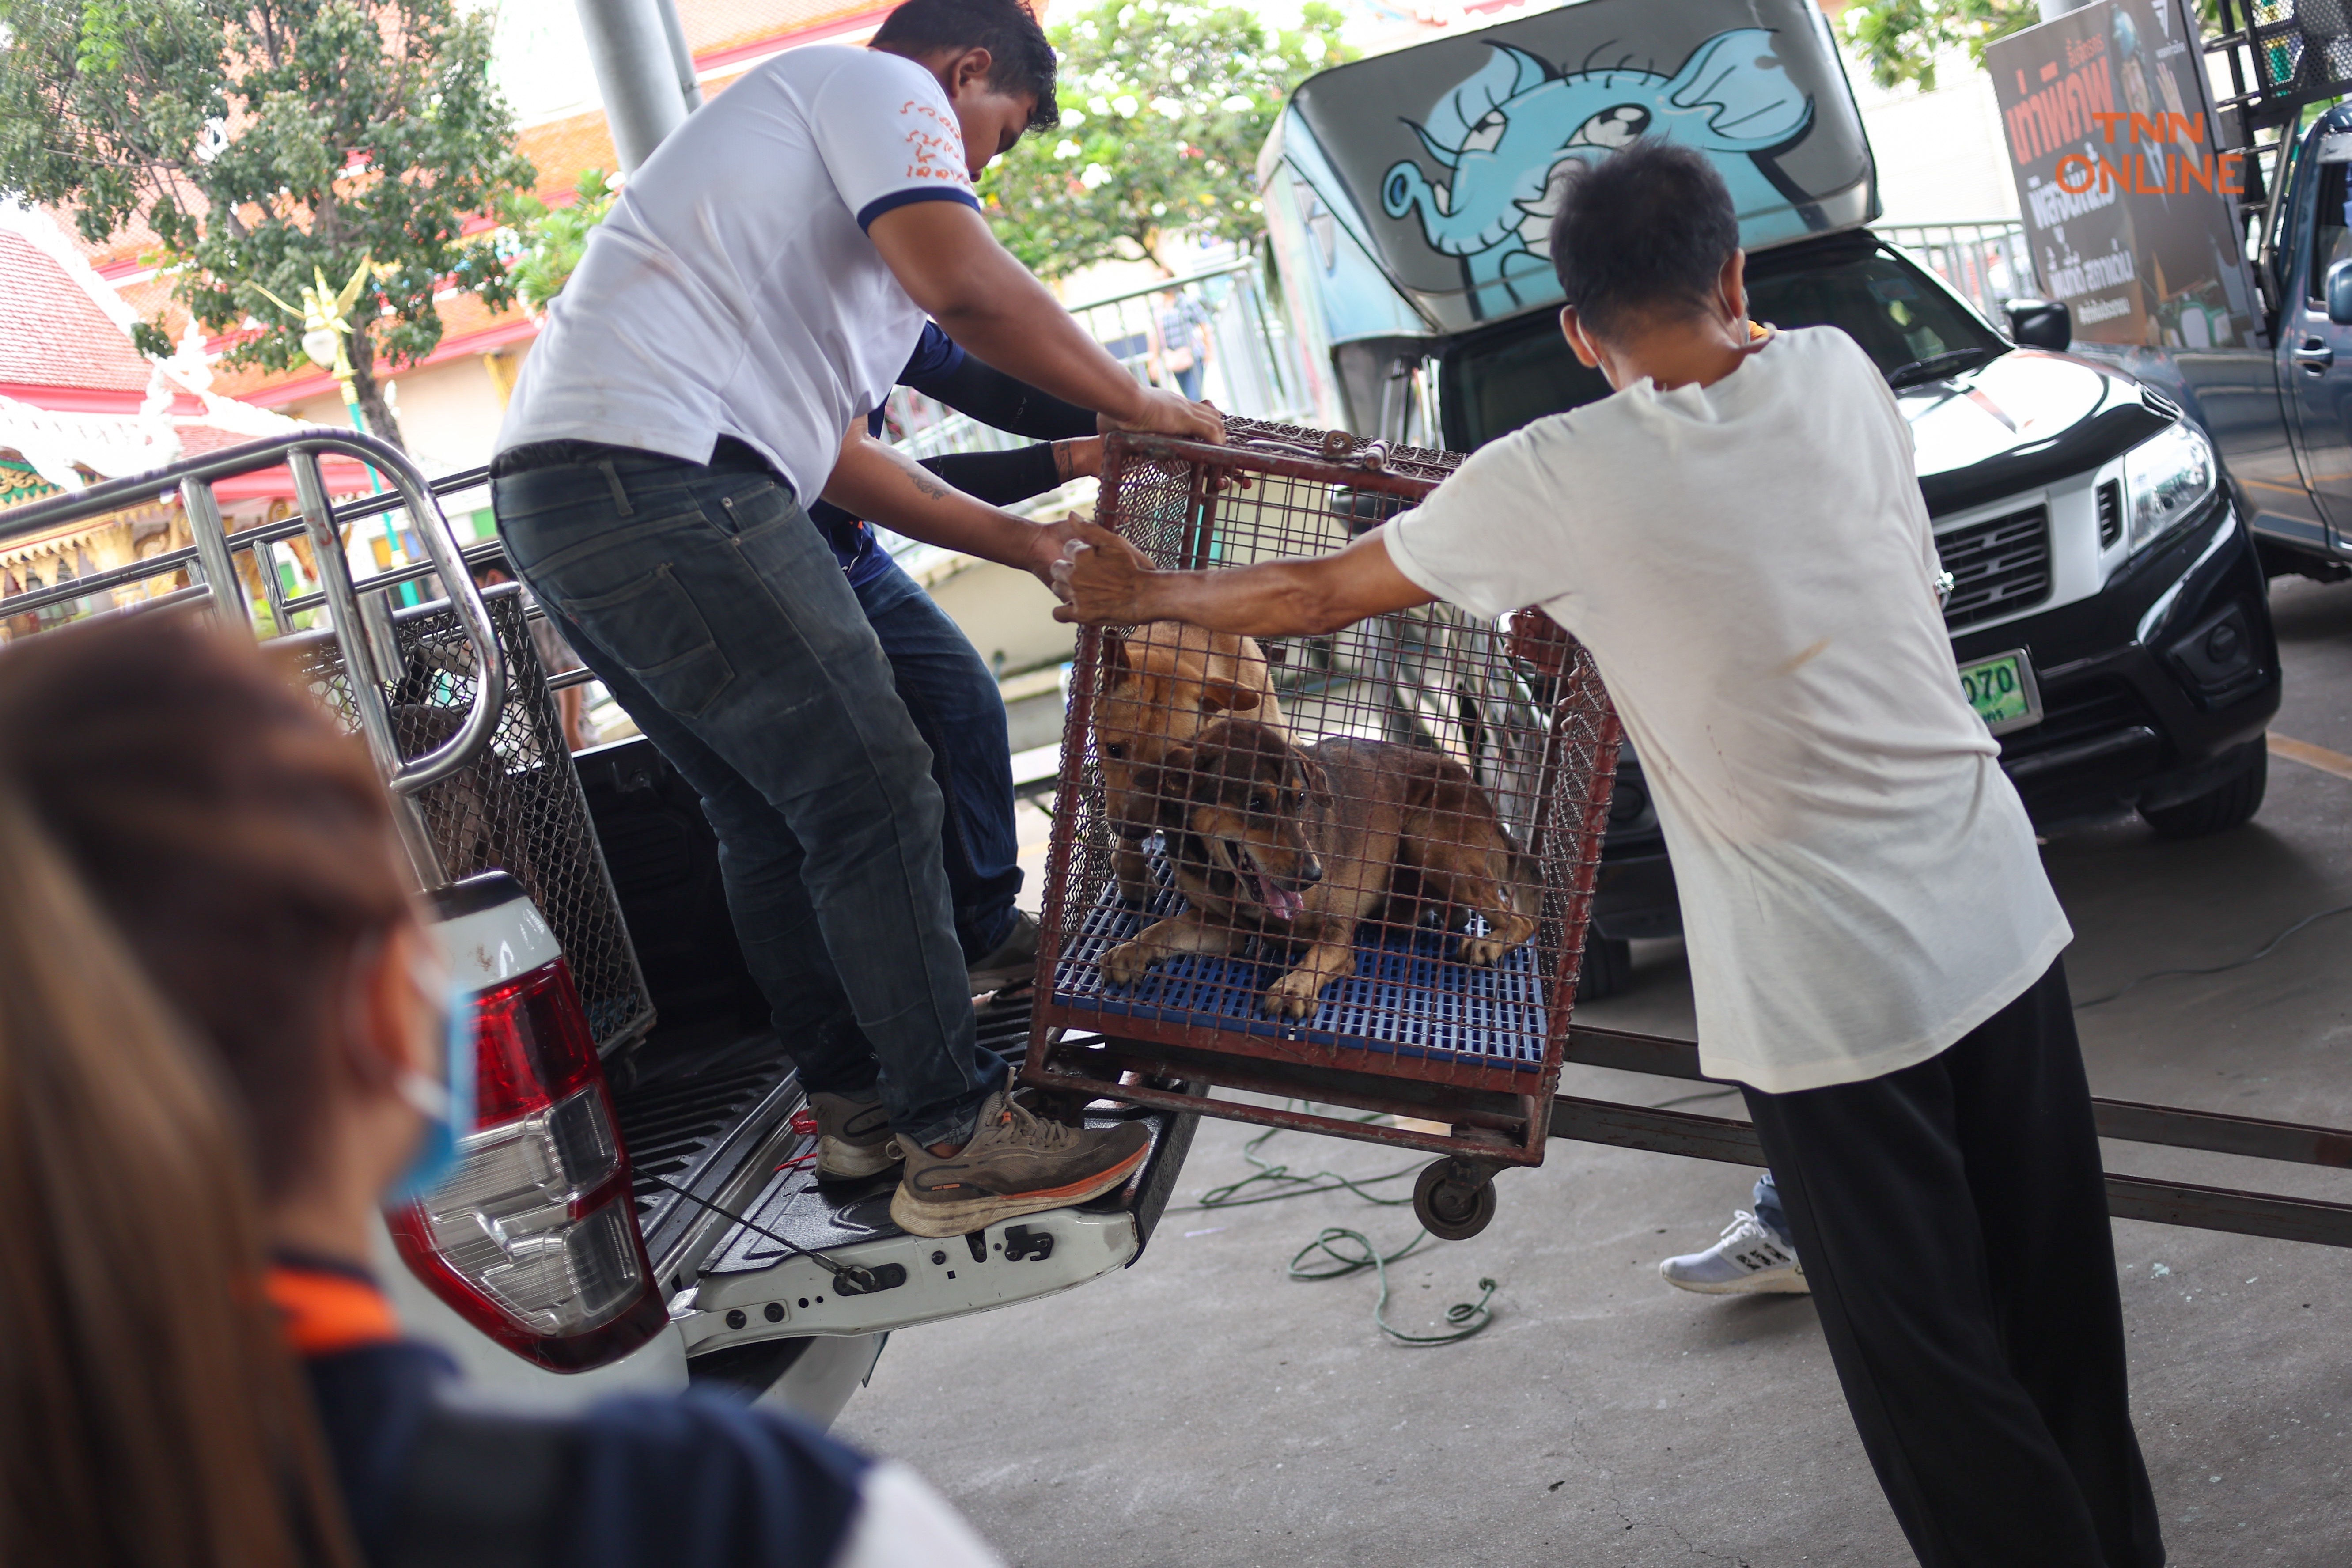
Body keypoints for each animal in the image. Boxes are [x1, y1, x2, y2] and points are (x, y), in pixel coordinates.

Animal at [1101, 719, 1543, 1025]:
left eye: (1300, 799)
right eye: (1255, 803)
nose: (1314, 875)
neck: (1228, 880)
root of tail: (1488, 807)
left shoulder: (1336, 934)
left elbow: (1319, 957)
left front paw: (1293, 988)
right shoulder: (1227, 926)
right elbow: (1163, 929)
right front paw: (1128, 951)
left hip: (1429, 841)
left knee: (1521, 921)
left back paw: (1487, 944)